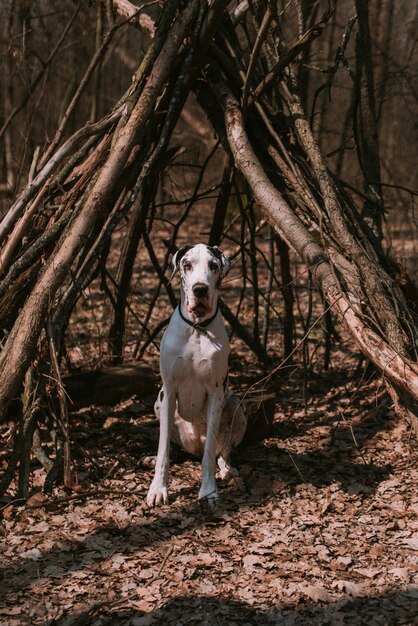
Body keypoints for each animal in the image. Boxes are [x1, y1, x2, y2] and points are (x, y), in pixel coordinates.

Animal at [146, 243, 247, 508]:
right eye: (187, 265)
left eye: (213, 265)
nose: (199, 289)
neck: (197, 329)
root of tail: (194, 446)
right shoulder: (169, 390)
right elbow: (163, 450)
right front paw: (158, 488)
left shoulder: (216, 393)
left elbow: (210, 454)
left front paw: (208, 491)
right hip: (157, 402)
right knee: (172, 447)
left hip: (235, 406)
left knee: (222, 452)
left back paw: (227, 469)